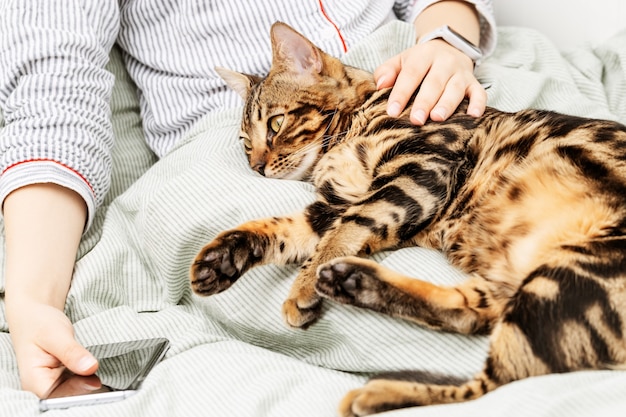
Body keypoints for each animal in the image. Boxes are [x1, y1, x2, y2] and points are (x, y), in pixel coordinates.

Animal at [188, 21, 624, 414]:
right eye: (246, 144)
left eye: (276, 123)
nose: (257, 168)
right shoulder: (338, 203)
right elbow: (283, 230)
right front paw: (223, 256)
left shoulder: (418, 171)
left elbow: (343, 232)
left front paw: (303, 287)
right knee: (471, 317)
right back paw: (355, 283)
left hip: (569, 275)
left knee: (497, 382)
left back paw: (372, 390)